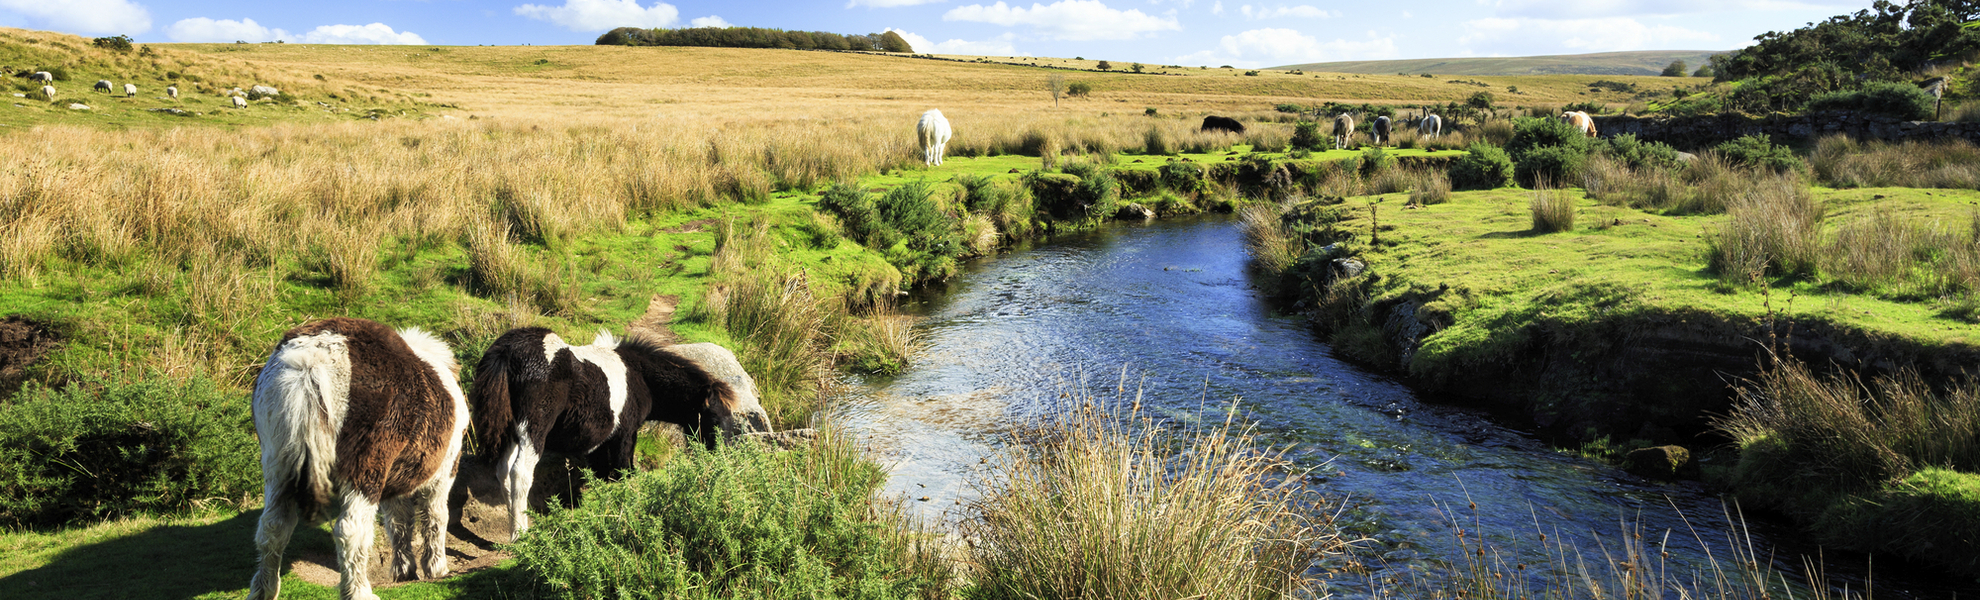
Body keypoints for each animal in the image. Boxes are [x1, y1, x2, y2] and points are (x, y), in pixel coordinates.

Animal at [247, 317, 470, 600]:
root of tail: (311, 360)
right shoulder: (443, 475)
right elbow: (436, 517)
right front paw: (436, 568)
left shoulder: (393, 483)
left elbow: (398, 521)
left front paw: (404, 569)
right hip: (365, 471)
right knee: (351, 531)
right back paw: (359, 591)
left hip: (279, 467)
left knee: (273, 526)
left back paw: (264, 590)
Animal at [470, 328, 771, 541]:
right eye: (714, 417)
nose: (718, 453)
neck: (640, 376)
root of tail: (507, 352)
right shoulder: (625, 435)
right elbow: (624, 472)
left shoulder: (599, 444)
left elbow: (603, 477)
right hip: (532, 429)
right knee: (520, 472)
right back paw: (520, 534)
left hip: (510, 432)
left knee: (503, 471)